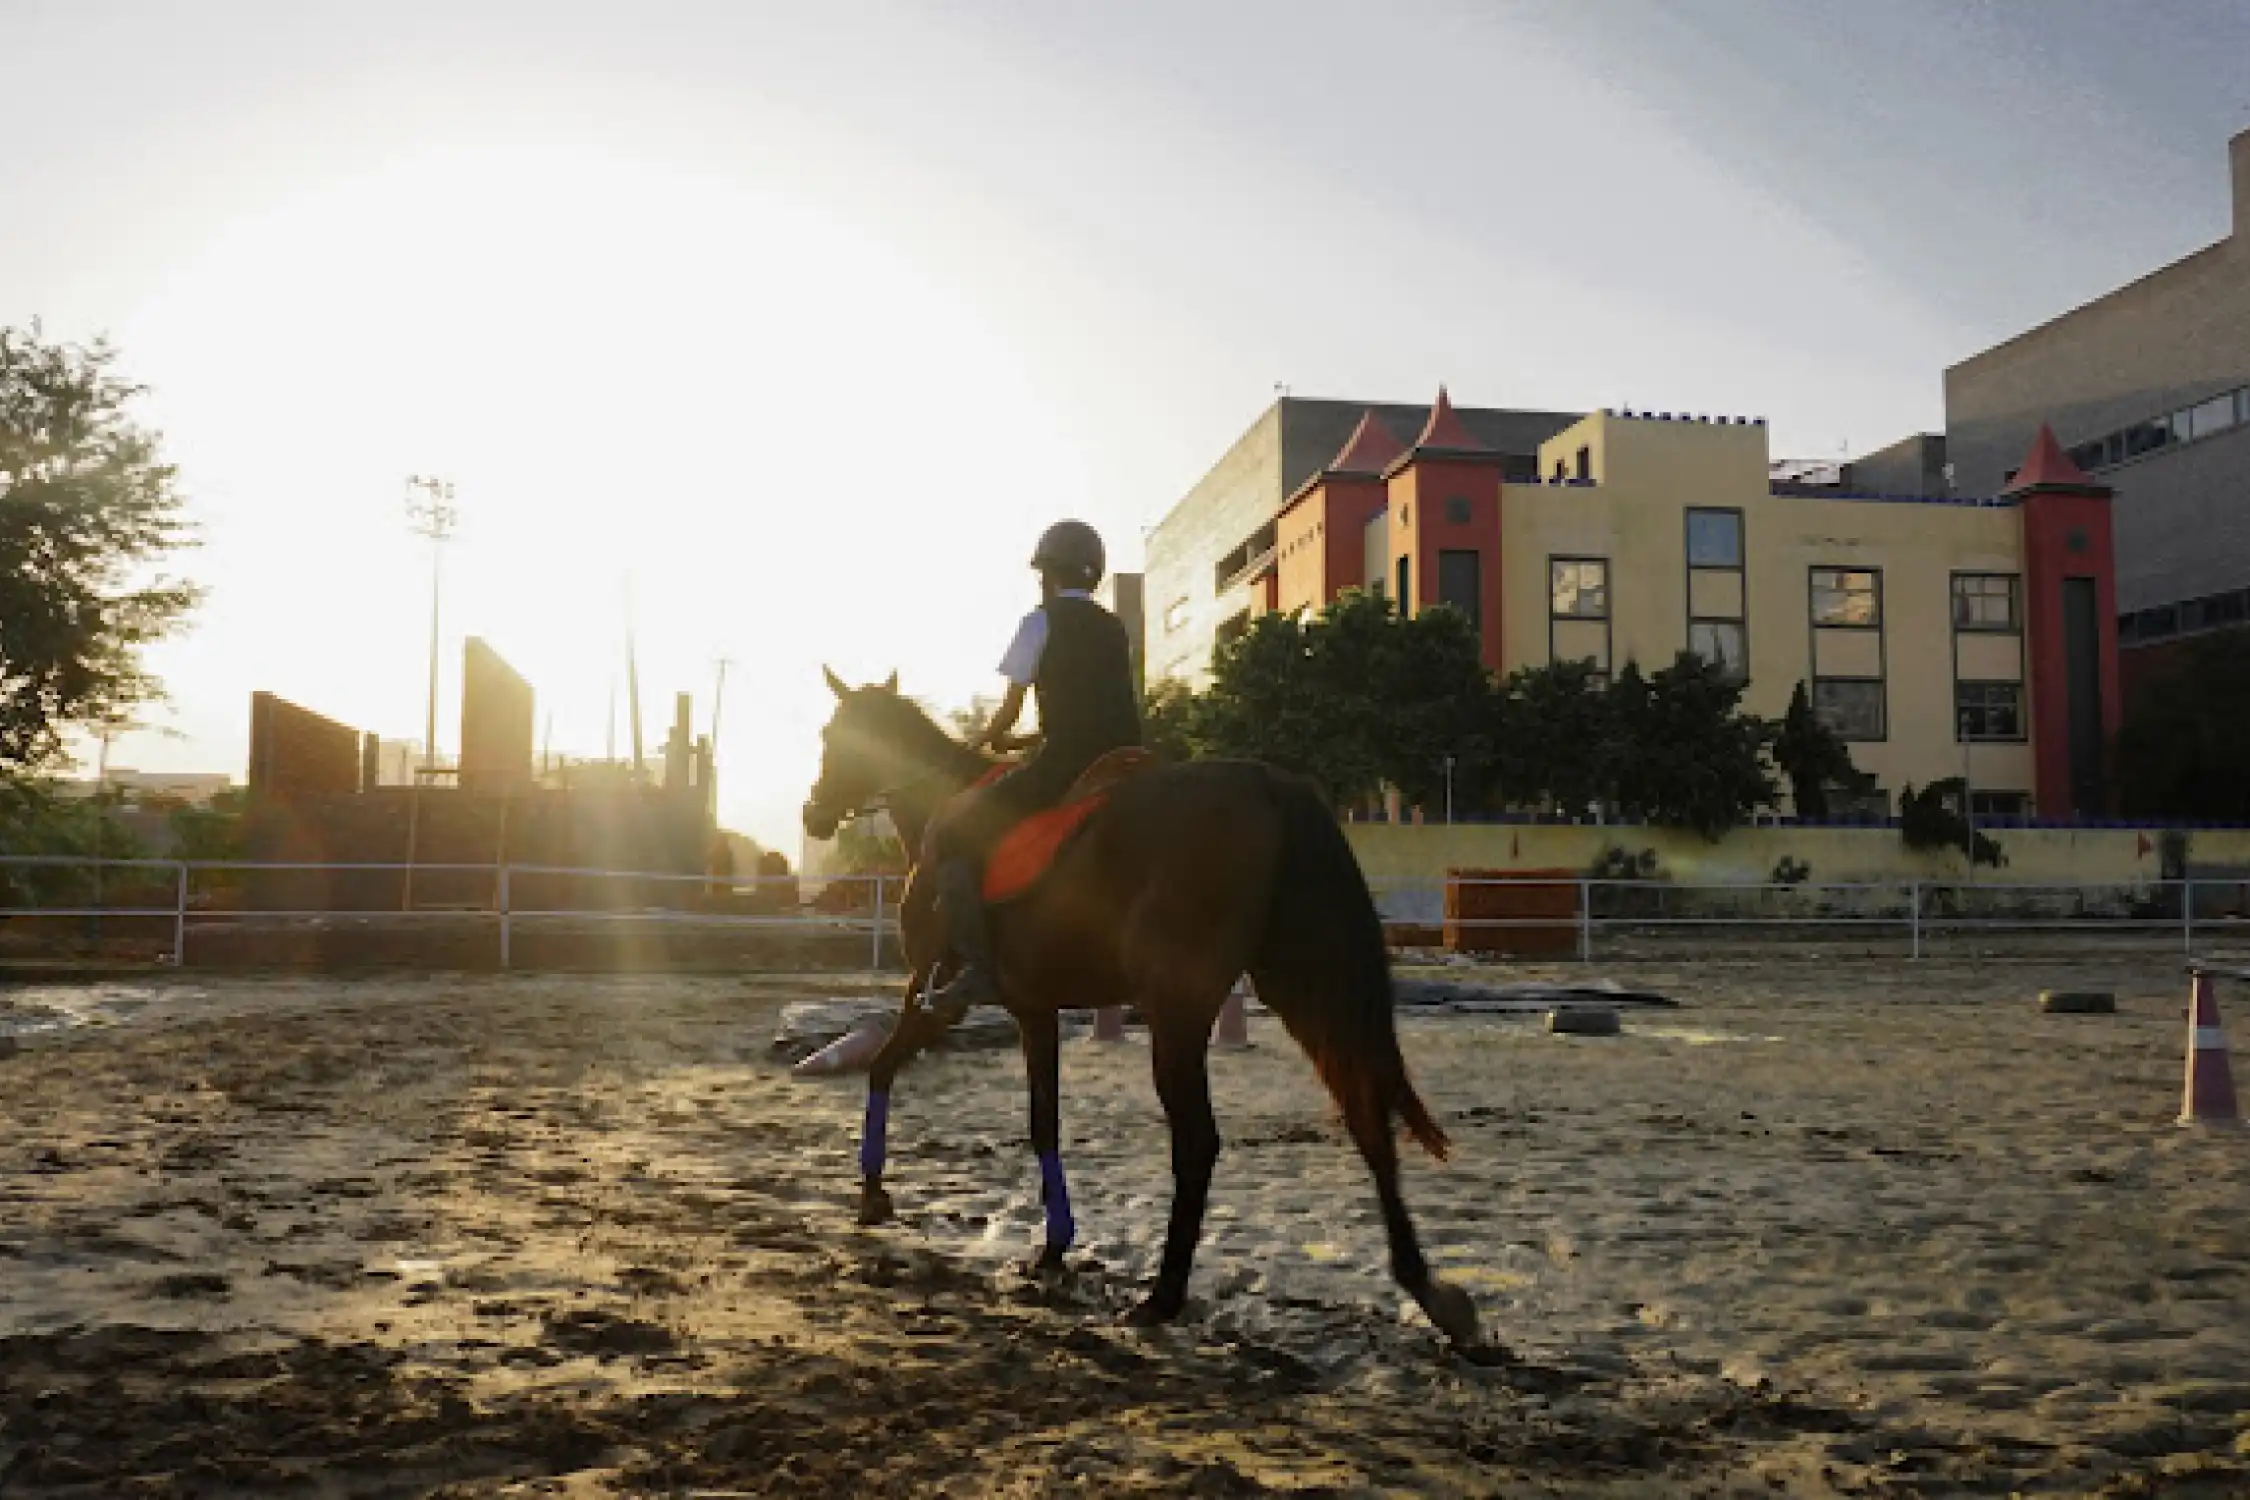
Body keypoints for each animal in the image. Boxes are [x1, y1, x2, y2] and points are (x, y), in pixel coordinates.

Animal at [801, 670, 1485, 1349]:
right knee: (1366, 1116)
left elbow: (882, 1067)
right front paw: (1053, 1246)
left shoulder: (939, 996)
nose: (813, 813)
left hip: (1179, 1008)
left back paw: (1163, 1296)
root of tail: (1270, 785)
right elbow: (1043, 1121)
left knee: (1199, 1141)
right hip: (1301, 983)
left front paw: (872, 1193)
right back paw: (1431, 1292)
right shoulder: (1034, 1008)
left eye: (833, 737)